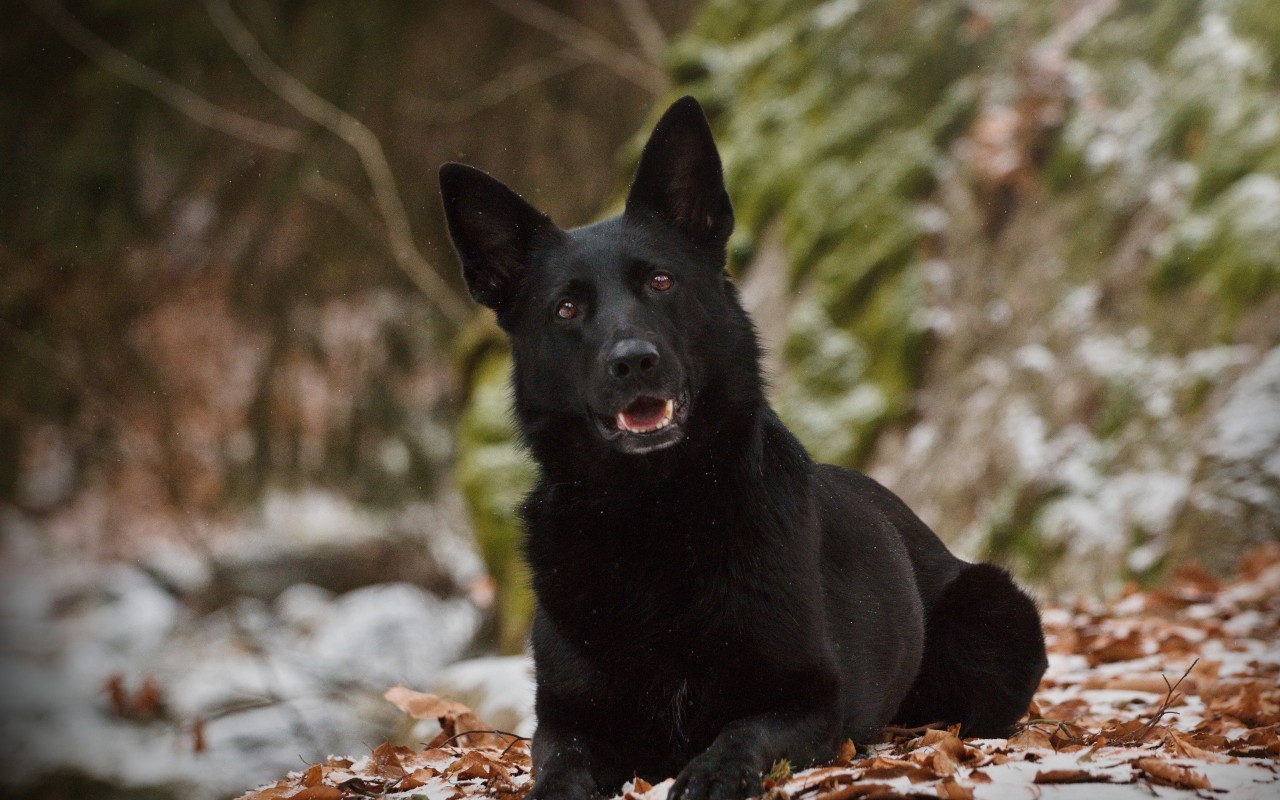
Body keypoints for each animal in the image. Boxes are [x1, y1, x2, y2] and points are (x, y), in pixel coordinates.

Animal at [445, 95, 1044, 798]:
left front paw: (713, 771)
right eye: (566, 309)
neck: (653, 515)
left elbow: (743, 731)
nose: (634, 361)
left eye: (660, 282)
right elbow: (559, 765)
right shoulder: (568, 721)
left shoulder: (810, 700)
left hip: (996, 618)